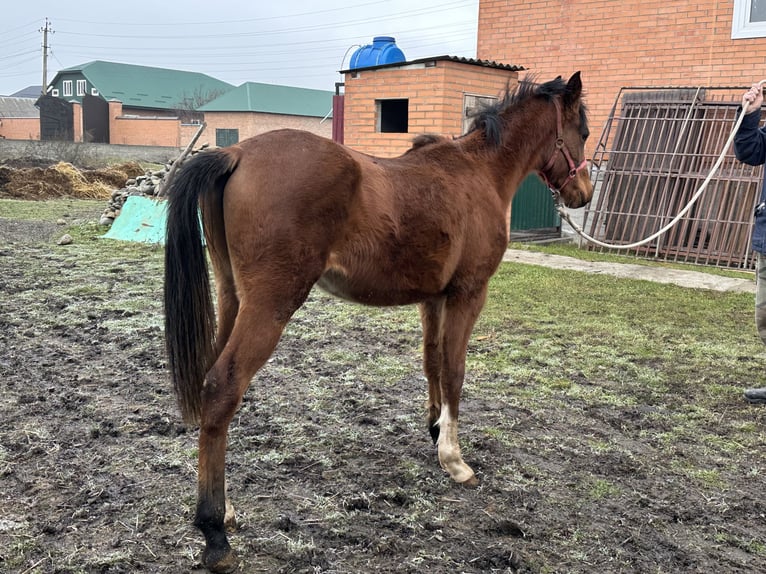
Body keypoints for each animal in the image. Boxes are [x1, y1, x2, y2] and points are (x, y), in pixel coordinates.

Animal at [163, 72, 592, 572]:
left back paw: (228, 508)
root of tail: (237, 153)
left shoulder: (433, 299)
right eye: (583, 131)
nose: (582, 194)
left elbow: (432, 363)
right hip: (269, 306)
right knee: (222, 387)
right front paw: (455, 459)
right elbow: (455, 370)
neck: (478, 172)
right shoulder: (468, 294)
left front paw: (435, 431)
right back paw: (215, 533)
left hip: (233, 297)